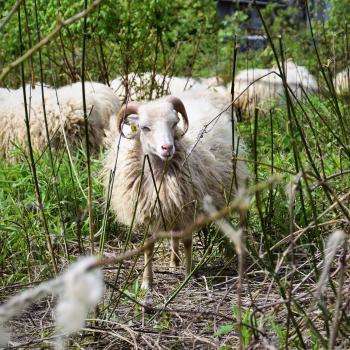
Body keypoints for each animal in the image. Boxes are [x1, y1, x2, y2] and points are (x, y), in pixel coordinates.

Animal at [102, 89, 247, 288]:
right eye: (145, 127)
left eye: (174, 123)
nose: (167, 147)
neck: (160, 174)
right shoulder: (149, 209)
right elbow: (148, 247)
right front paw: (147, 282)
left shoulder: (188, 207)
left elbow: (187, 242)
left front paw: (188, 276)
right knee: (174, 234)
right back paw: (173, 262)